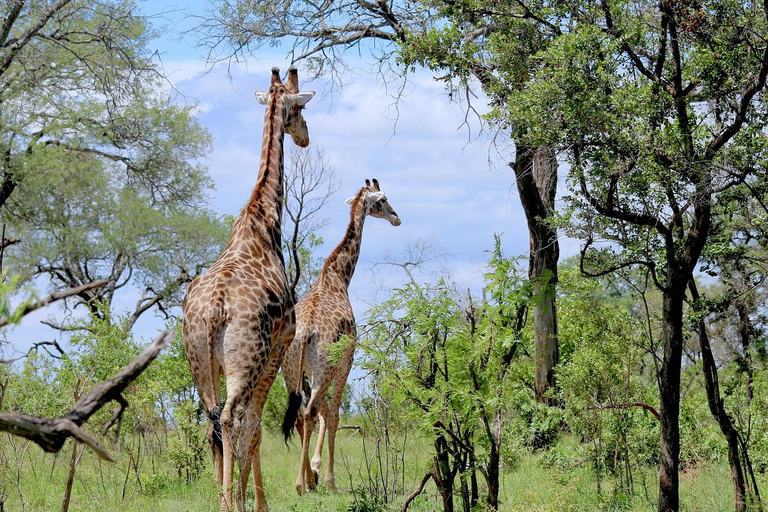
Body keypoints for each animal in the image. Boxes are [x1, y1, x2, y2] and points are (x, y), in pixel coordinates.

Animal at [183, 68, 316, 512]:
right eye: (301, 108)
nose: (305, 137)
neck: (263, 216)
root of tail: (214, 310)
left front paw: (244, 498)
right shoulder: (280, 344)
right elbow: (256, 427)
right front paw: (257, 503)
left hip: (200, 363)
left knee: (212, 420)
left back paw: (222, 500)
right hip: (248, 359)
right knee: (231, 418)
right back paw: (231, 502)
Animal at [282, 178, 402, 494]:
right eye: (382, 199)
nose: (396, 217)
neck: (339, 275)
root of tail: (305, 331)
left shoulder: (311, 371)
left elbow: (325, 412)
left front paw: (315, 469)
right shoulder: (346, 360)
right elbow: (333, 414)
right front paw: (328, 478)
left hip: (291, 369)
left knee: (301, 414)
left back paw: (305, 480)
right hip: (323, 367)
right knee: (311, 412)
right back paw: (302, 483)